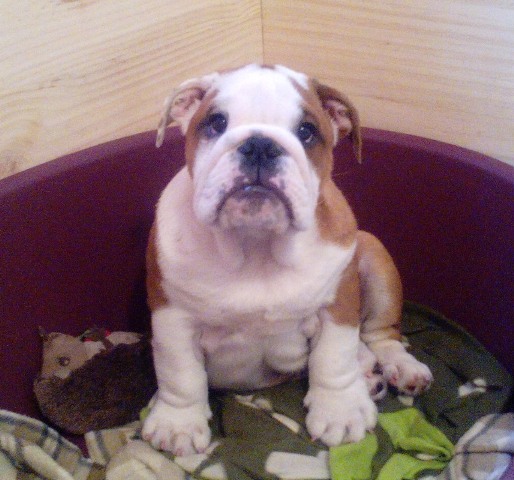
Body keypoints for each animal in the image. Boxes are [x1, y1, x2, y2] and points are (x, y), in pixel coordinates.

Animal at [142, 64, 433, 456]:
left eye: (306, 131)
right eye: (216, 123)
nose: (260, 145)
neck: (256, 246)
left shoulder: (338, 304)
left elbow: (333, 358)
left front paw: (340, 410)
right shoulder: (172, 316)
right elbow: (180, 373)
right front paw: (178, 422)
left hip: (374, 255)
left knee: (382, 334)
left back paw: (401, 366)